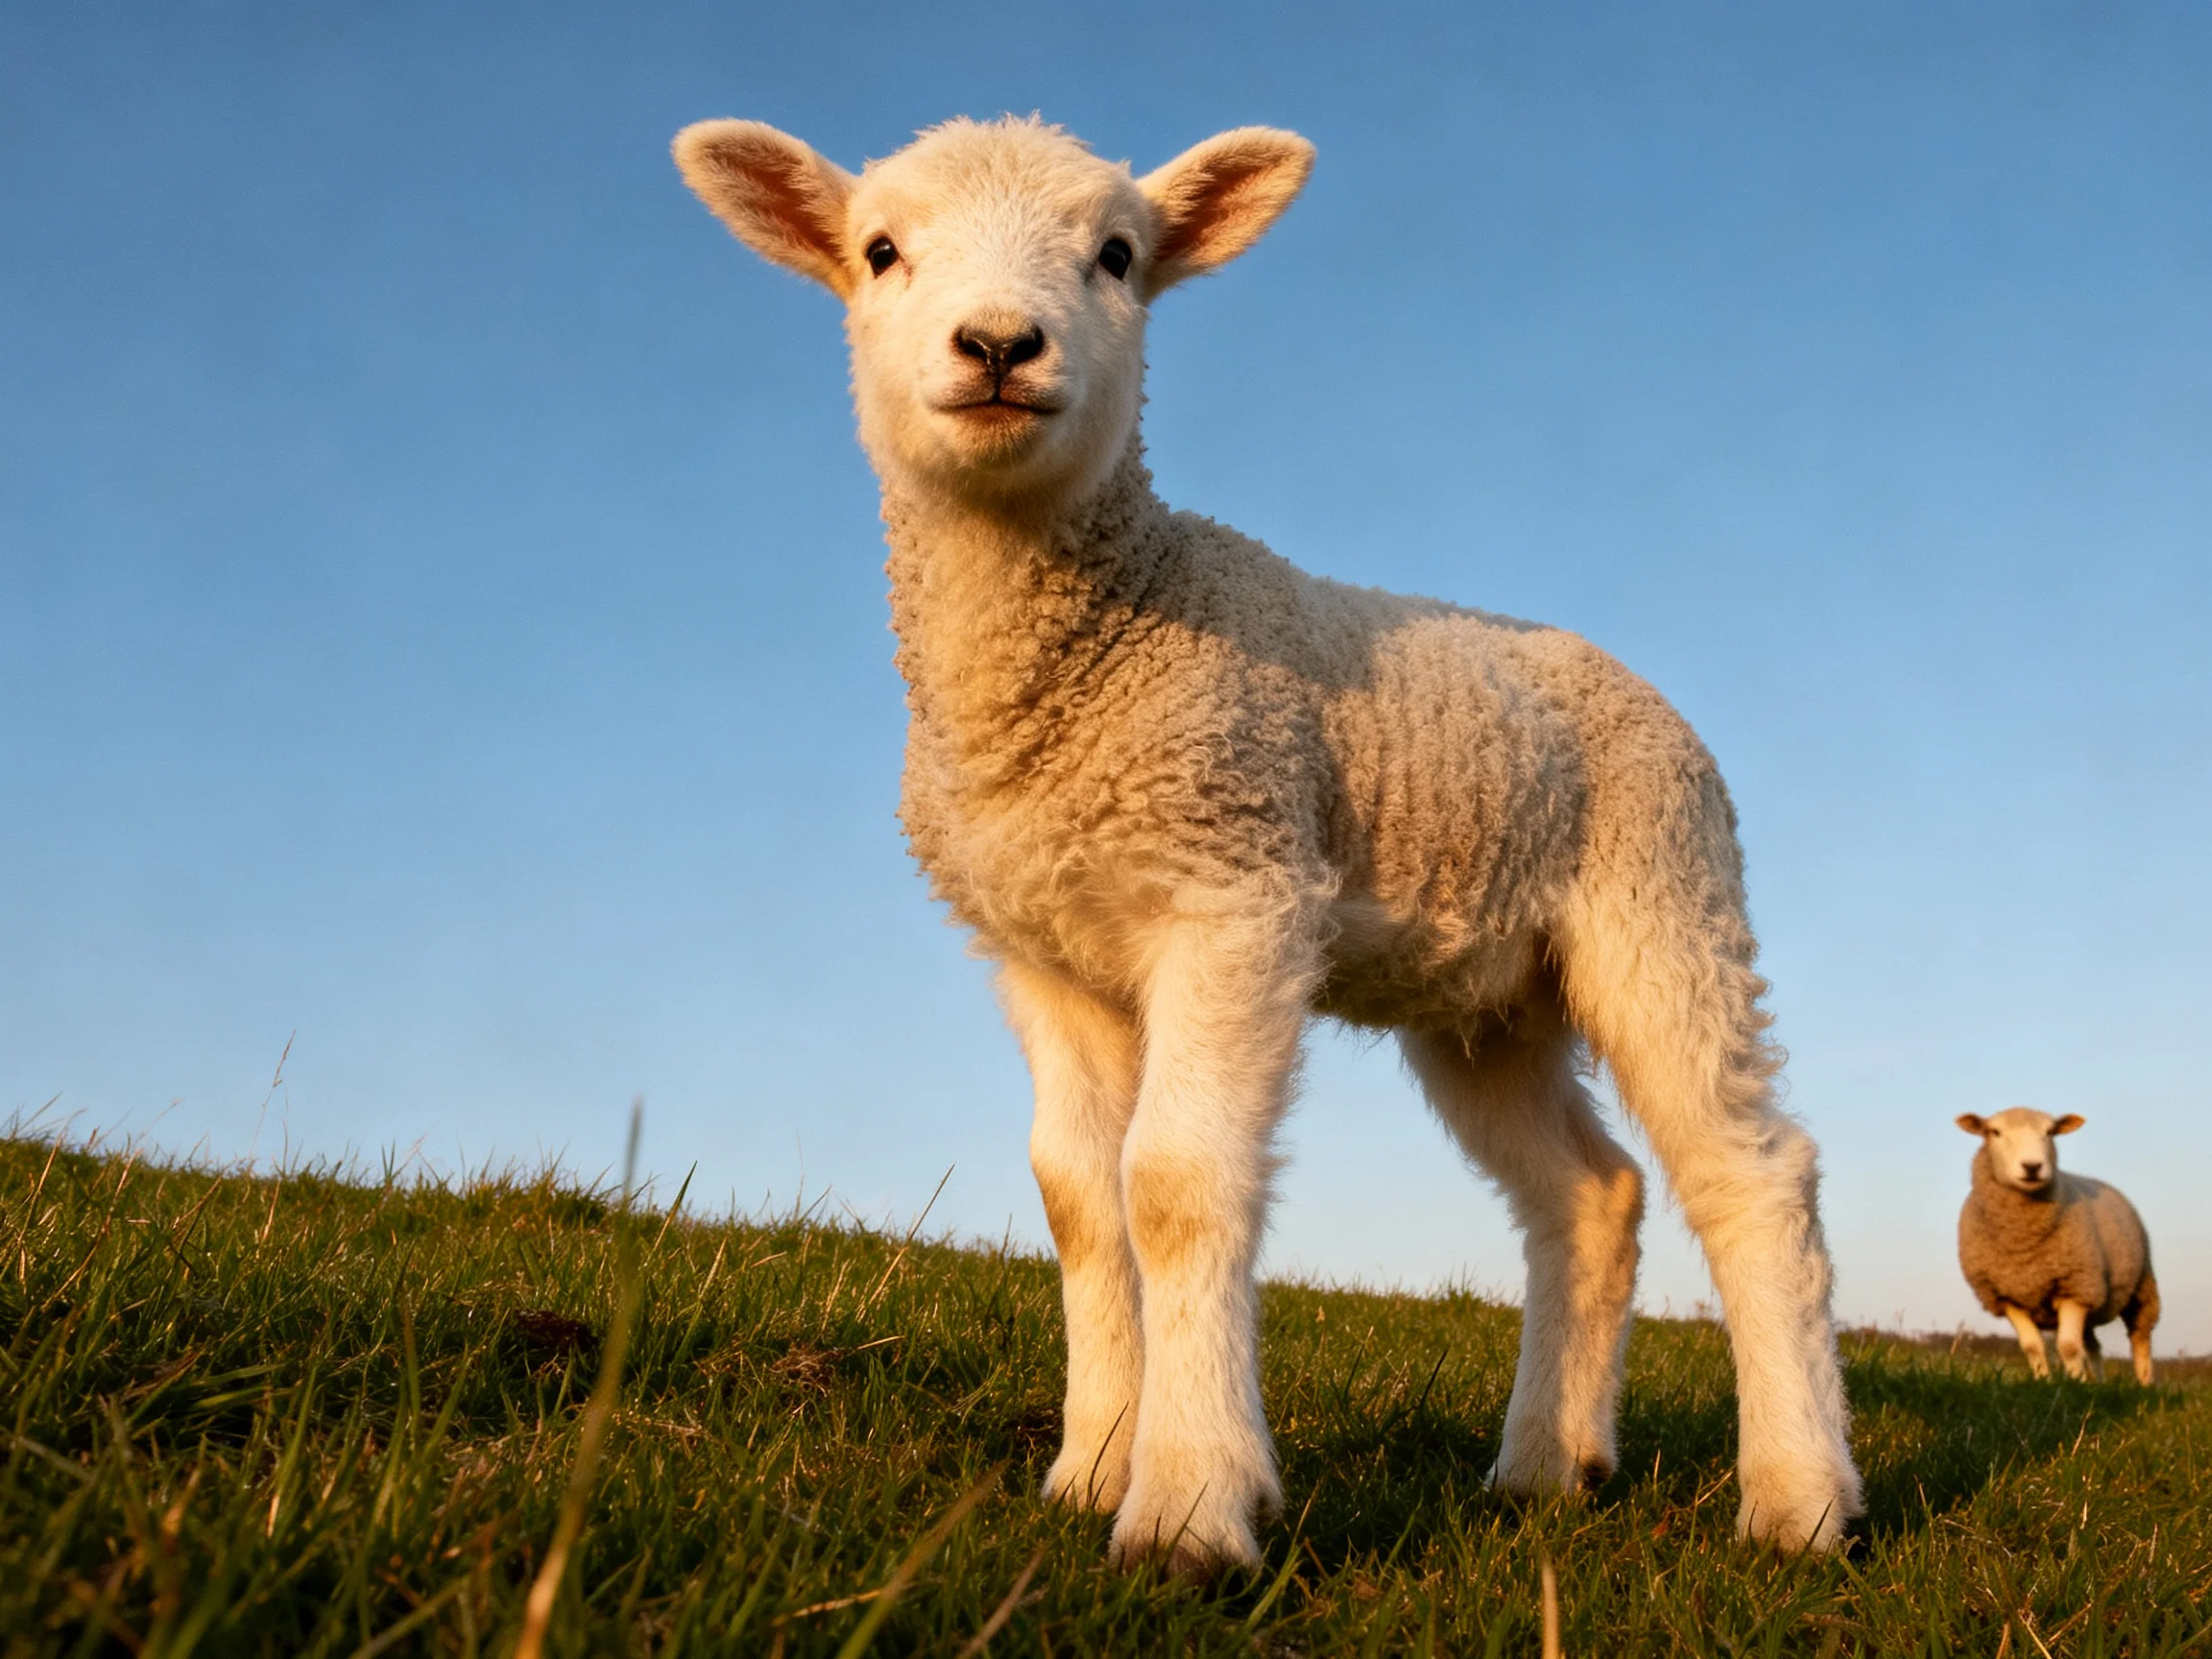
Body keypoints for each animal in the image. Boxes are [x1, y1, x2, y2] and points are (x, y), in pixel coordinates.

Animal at [673, 113, 1864, 1569]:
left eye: (1117, 256)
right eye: (880, 251)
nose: (1000, 345)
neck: (1091, 643)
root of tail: (1631, 681)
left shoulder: (1232, 888)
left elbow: (1176, 1185)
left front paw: (1186, 1506)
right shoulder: (1047, 956)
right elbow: (1080, 1199)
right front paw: (1091, 1468)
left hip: (1667, 895)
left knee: (1754, 1175)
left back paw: (1800, 1498)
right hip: (1487, 996)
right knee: (1591, 1195)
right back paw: (1546, 1467)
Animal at [1956, 1107, 2158, 1384]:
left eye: (2050, 1132)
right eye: (1994, 1132)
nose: (2032, 1166)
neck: (2023, 1242)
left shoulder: (2075, 1286)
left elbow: (2068, 1346)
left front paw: (2076, 1385)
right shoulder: (2007, 1296)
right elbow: (2033, 1347)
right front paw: (2045, 1382)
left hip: (2141, 1286)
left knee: (2140, 1338)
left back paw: (2145, 1384)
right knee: (2093, 1345)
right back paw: (2100, 1383)